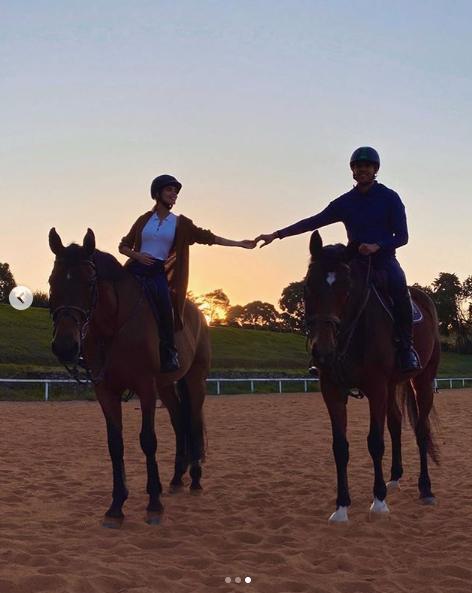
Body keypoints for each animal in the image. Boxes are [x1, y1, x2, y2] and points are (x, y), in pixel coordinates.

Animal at [48, 228, 209, 528]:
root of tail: (200, 316)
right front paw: (116, 505)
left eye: (90, 283)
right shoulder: (106, 391)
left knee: (192, 421)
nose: (65, 346)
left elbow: (148, 440)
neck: (113, 326)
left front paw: (154, 504)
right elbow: (115, 444)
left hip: (195, 380)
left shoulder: (146, 388)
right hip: (166, 387)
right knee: (179, 422)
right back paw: (176, 478)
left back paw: (194, 479)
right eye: (53, 281)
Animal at [304, 231, 440, 524]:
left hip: (422, 381)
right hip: (393, 385)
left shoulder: (376, 387)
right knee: (396, 423)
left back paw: (425, 488)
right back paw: (395, 478)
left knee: (421, 430)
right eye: (308, 286)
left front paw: (378, 502)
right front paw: (341, 507)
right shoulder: (332, 390)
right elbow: (340, 447)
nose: (322, 351)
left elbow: (375, 442)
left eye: (347, 289)